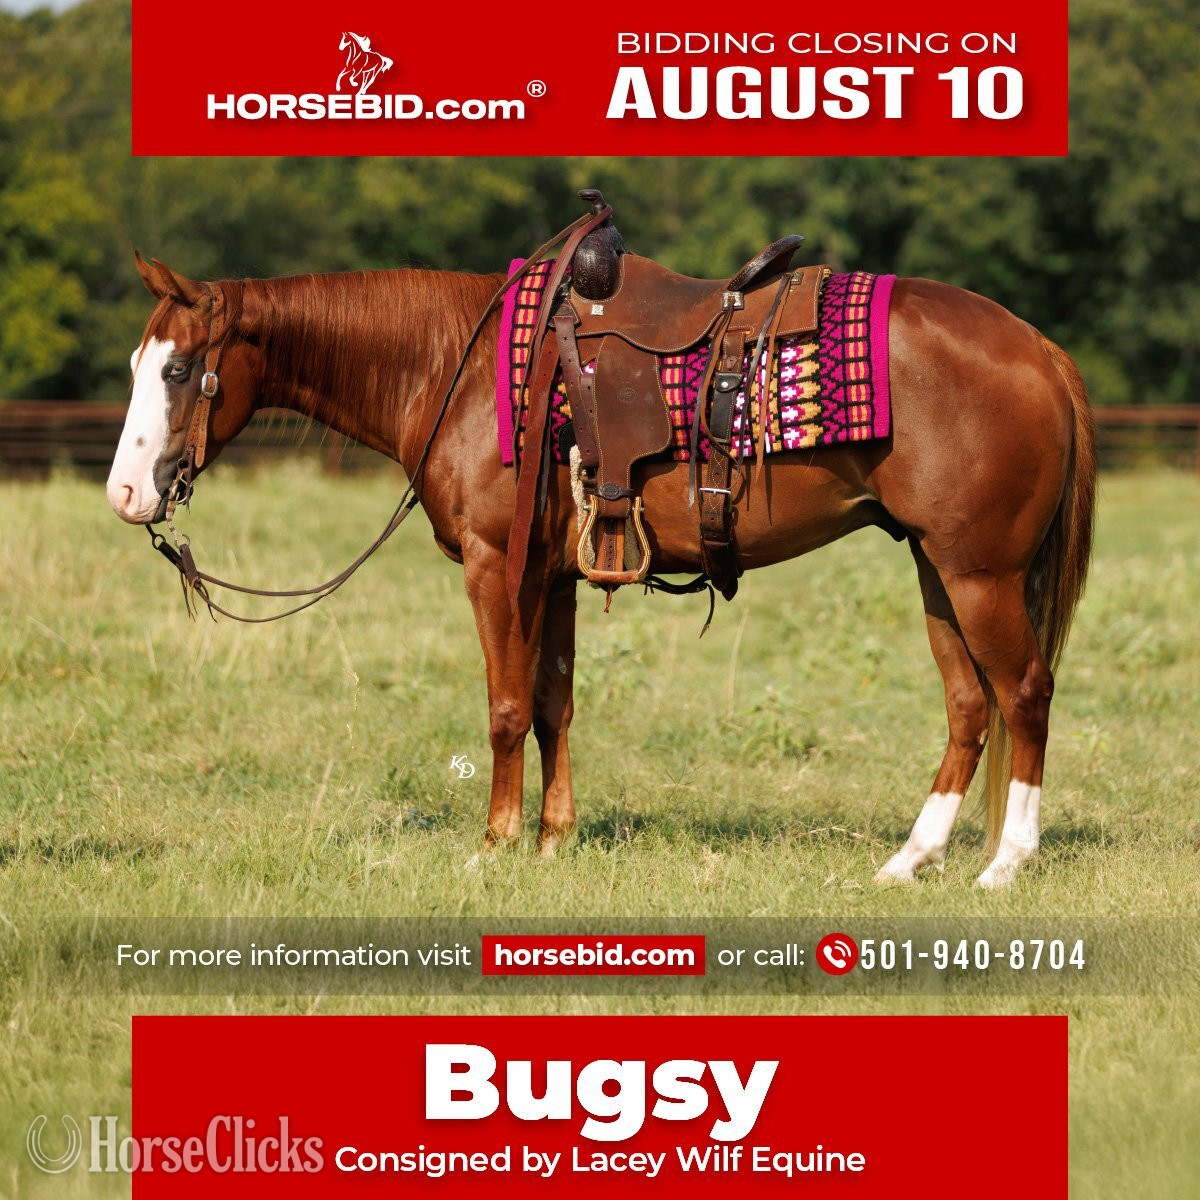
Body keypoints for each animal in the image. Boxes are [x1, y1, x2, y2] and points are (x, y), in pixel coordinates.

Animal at [107, 250, 1095, 889]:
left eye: (181, 370)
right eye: (138, 365)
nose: (125, 492)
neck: (460, 369)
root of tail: (1040, 347)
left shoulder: (496, 567)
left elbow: (507, 709)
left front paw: (497, 844)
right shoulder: (552, 577)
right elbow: (554, 704)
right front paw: (554, 839)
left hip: (979, 573)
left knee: (1024, 693)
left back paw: (1007, 864)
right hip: (937, 567)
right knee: (969, 706)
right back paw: (909, 861)